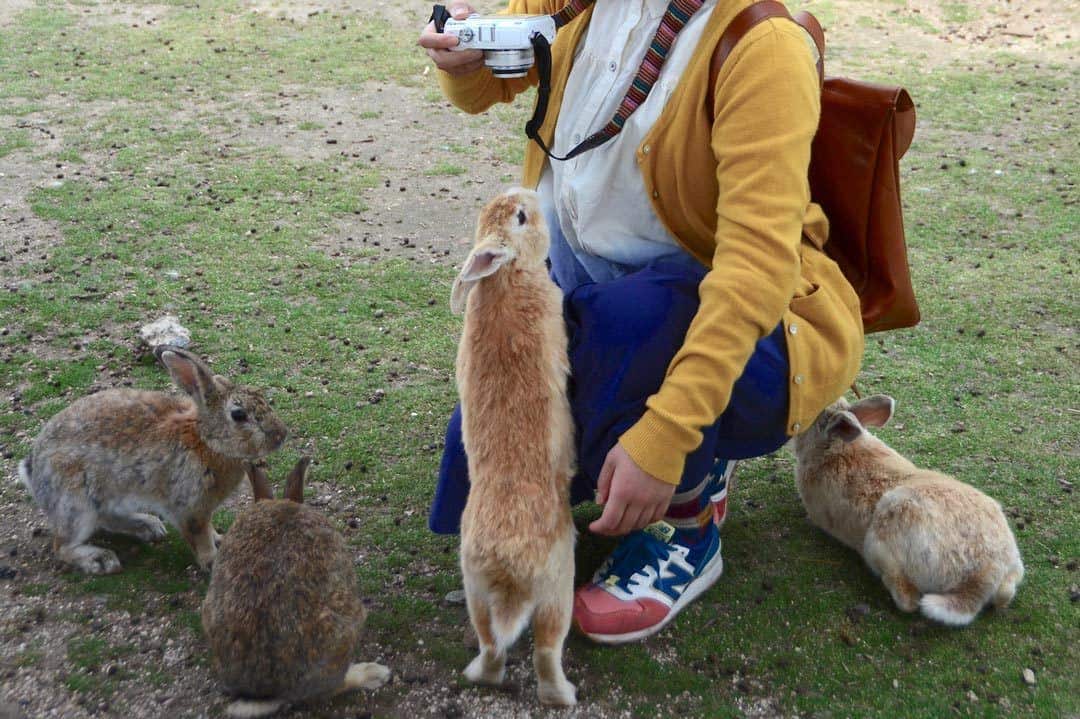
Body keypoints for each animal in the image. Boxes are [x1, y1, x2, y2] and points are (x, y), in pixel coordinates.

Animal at [18, 345, 287, 574]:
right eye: (239, 415)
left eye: (260, 396)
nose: (281, 435)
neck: (205, 441)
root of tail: (32, 469)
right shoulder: (189, 508)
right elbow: (199, 538)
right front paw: (212, 561)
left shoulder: (203, 509)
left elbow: (209, 529)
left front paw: (220, 540)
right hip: (76, 504)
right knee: (63, 545)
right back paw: (100, 559)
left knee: (107, 519)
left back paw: (147, 526)